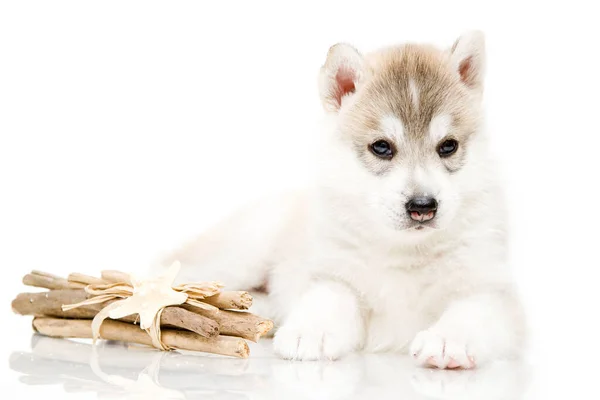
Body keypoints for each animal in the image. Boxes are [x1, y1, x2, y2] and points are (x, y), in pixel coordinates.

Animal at [165, 32, 524, 370]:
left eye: (448, 146)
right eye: (381, 147)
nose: (423, 206)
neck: (404, 250)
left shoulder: (492, 290)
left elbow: (473, 311)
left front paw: (450, 340)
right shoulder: (335, 273)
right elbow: (329, 298)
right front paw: (310, 331)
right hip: (243, 252)